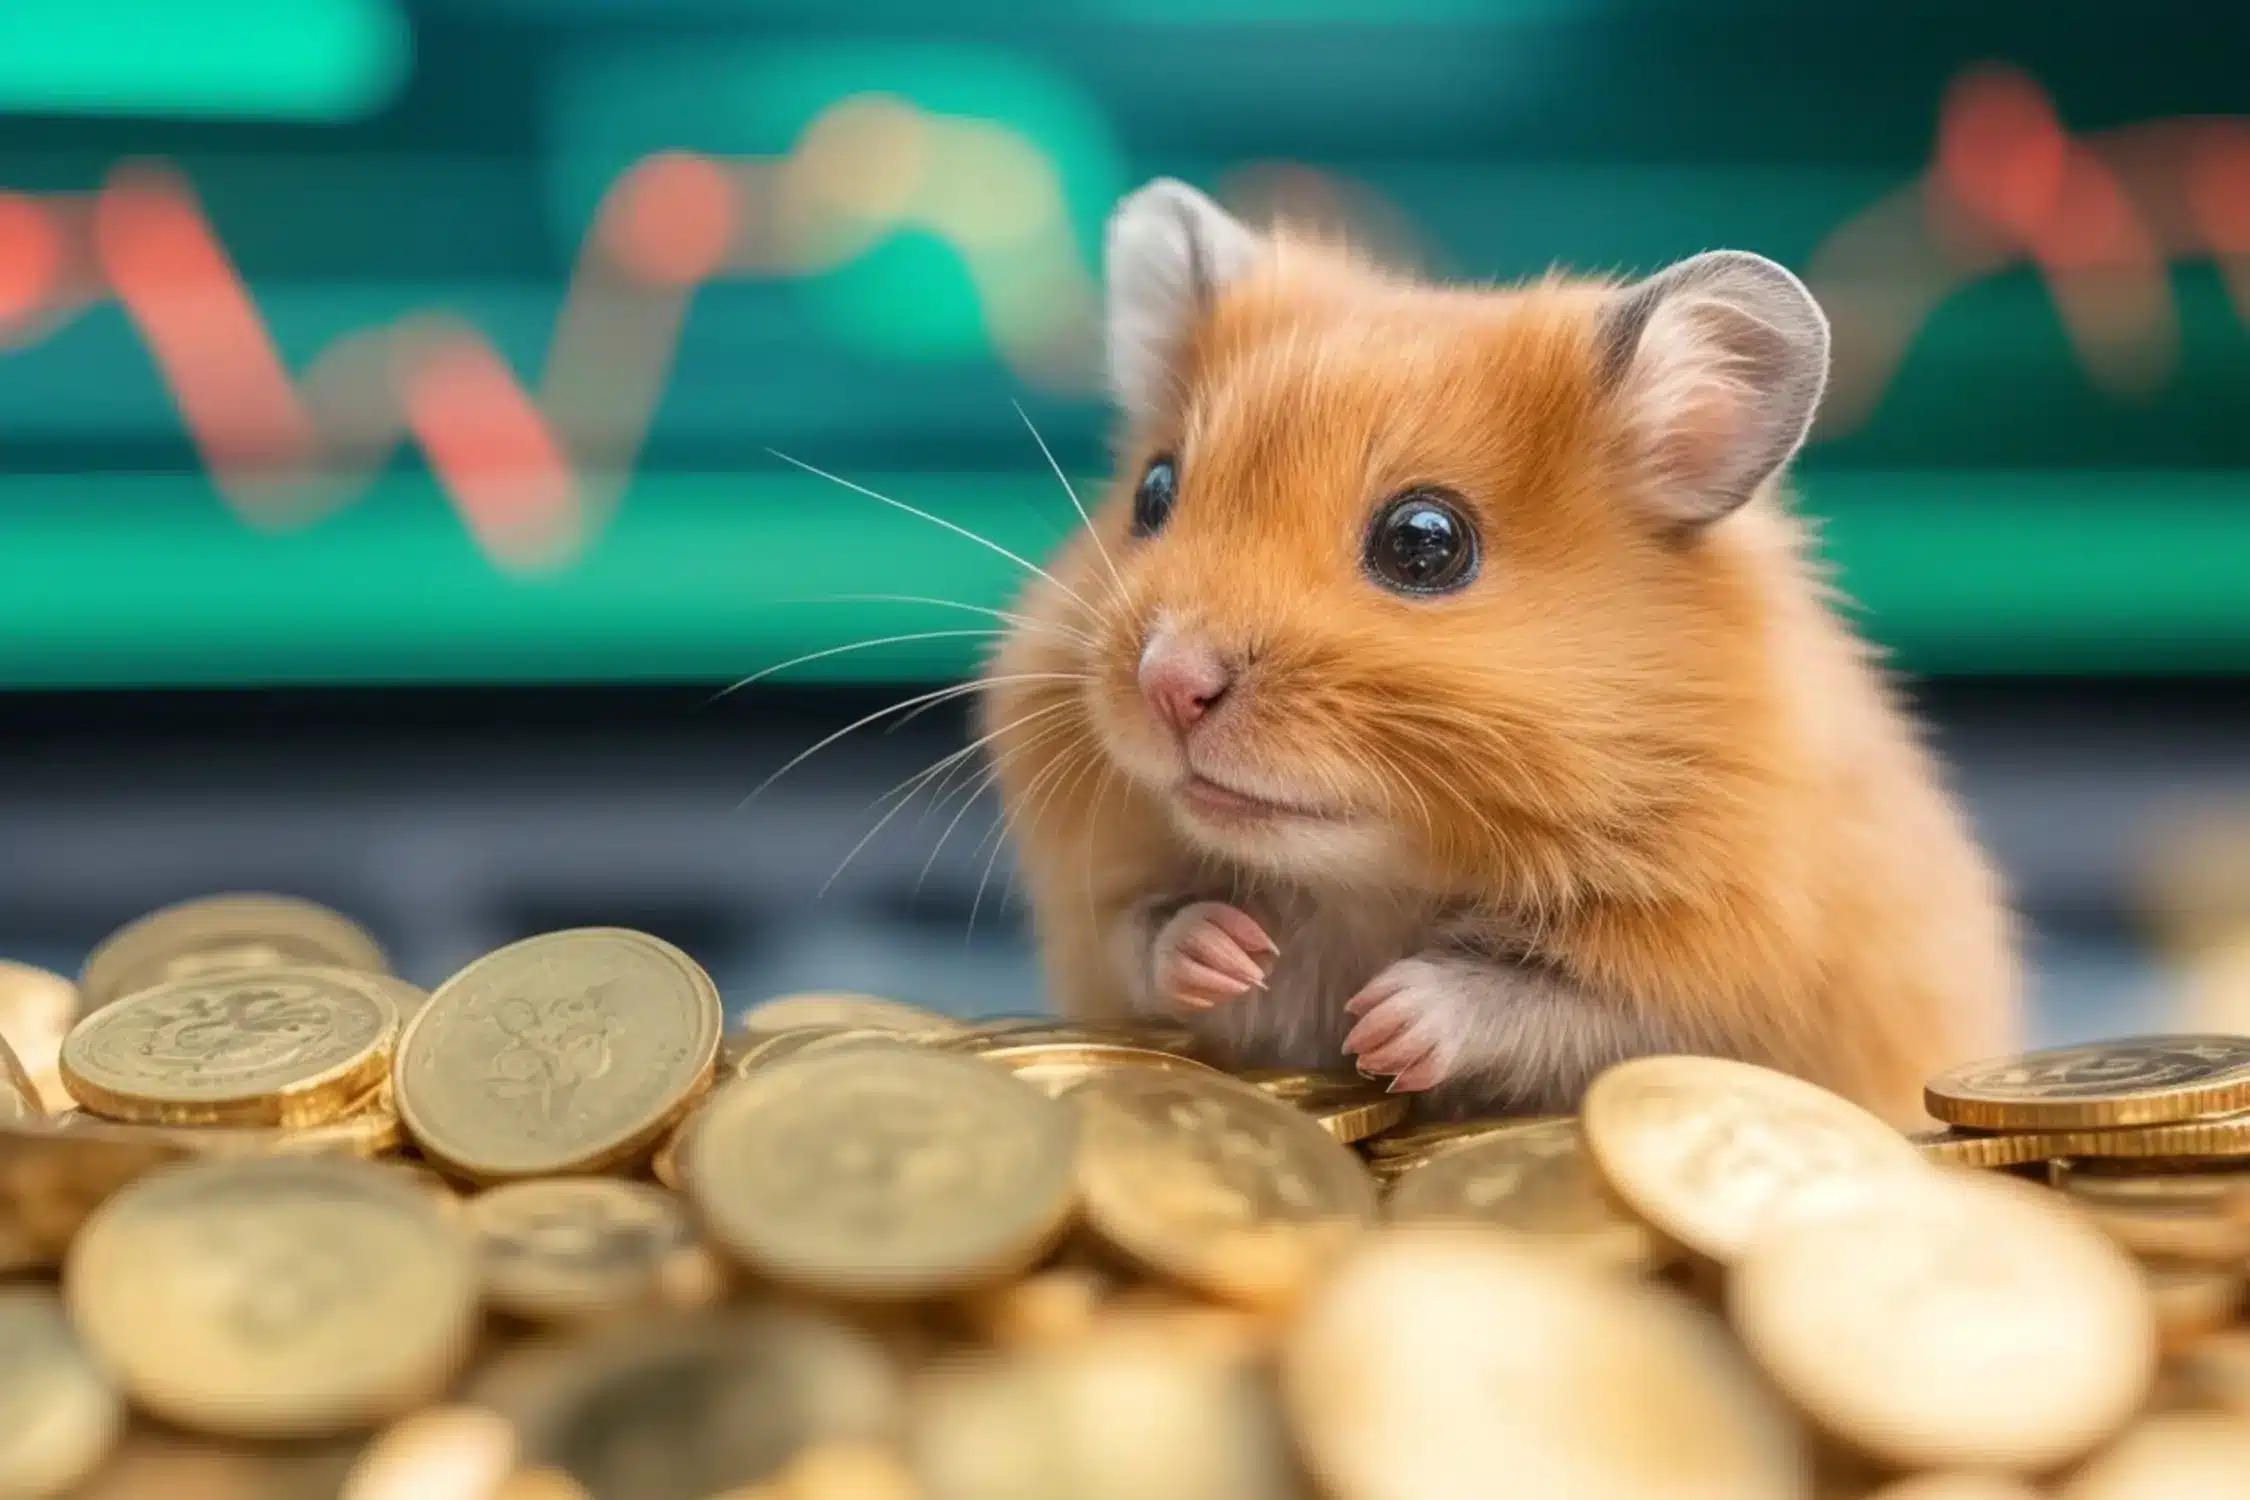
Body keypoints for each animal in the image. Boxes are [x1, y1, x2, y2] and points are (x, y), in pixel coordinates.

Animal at [976, 178, 2018, 1124]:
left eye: (1424, 543)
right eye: (1152, 493)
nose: (1169, 684)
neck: (1375, 877)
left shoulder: (1709, 970)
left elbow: (1542, 1001)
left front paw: (1383, 1024)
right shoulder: (1096, 911)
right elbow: (1147, 941)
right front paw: (1231, 953)